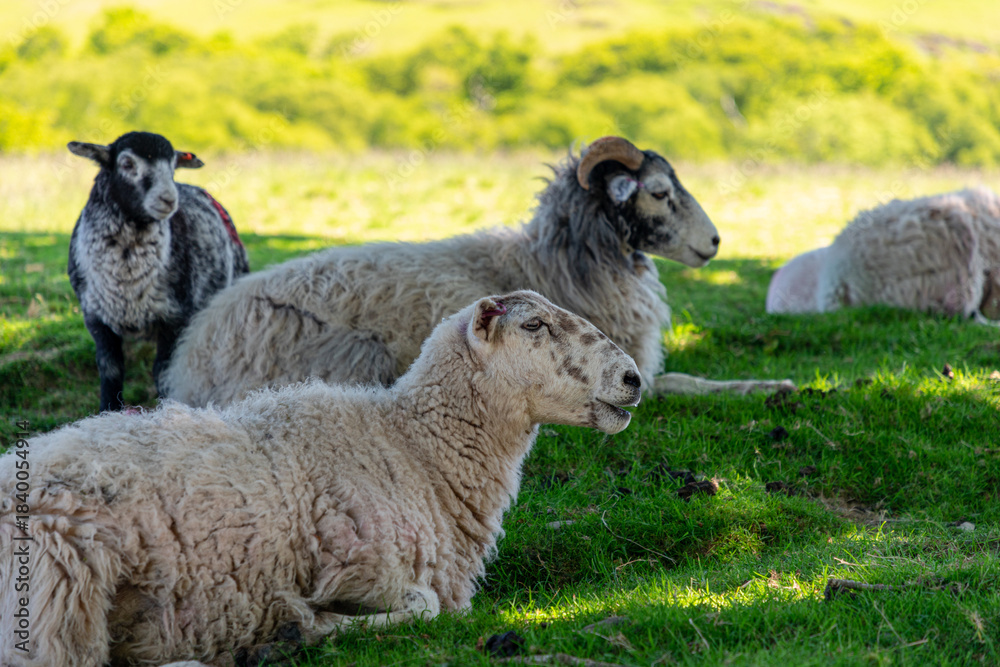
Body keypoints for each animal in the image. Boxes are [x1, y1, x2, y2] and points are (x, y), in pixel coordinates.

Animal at [0, 290, 641, 667]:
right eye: (534, 325)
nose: (634, 377)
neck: (415, 448)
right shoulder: (364, 563)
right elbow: (424, 604)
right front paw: (305, 629)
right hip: (58, 596)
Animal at [67, 131, 250, 413]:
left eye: (173, 167)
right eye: (127, 164)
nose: (169, 199)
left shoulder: (174, 316)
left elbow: (162, 372)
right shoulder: (95, 317)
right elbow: (111, 371)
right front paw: (107, 410)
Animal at [164, 136, 793, 407]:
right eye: (660, 192)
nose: (715, 243)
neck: (558, 260)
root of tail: (194, 353)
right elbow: (688, 383)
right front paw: (772, 386)